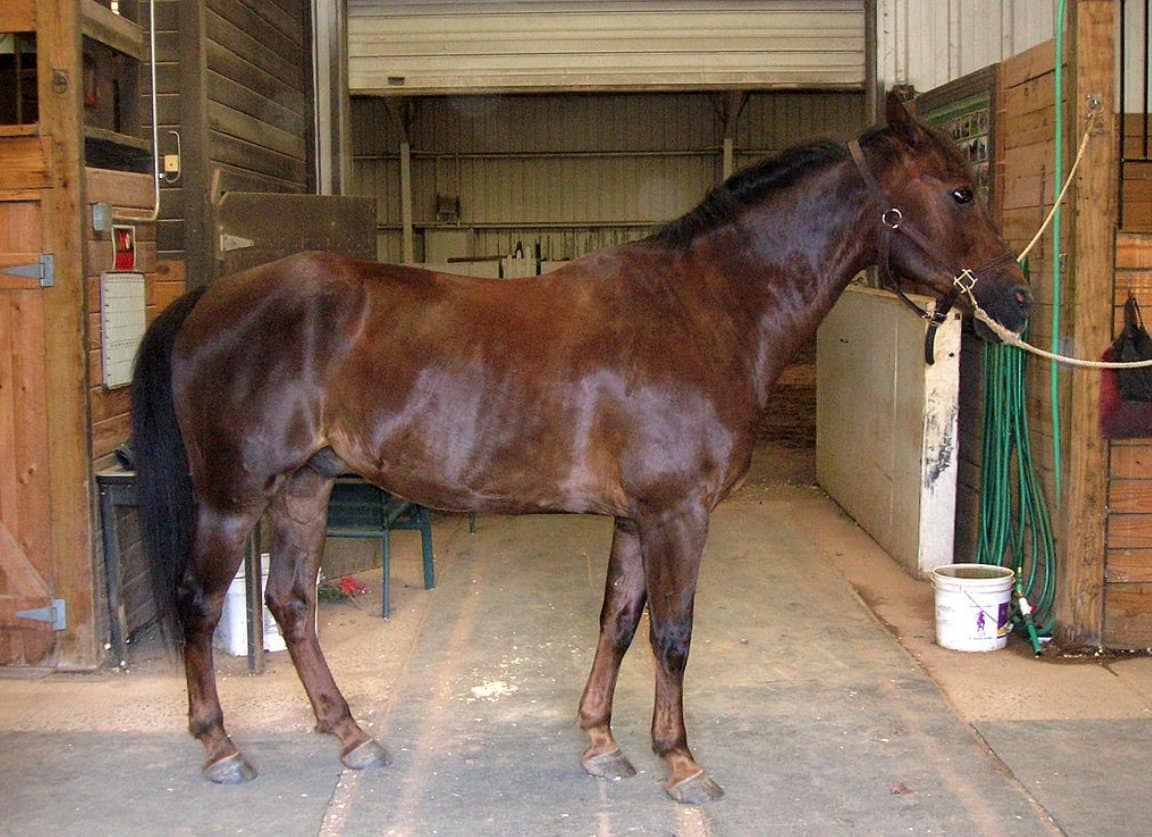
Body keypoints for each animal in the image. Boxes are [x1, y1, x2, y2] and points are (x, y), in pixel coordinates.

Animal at [130, 93, 1032, 805]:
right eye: (960, 189)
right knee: (200, 602)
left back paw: (349, 731)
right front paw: (682, 761)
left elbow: (619, 621)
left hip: (304, 486)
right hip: (234, 495)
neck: (705, 307)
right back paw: (220, 745)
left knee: (290, 600)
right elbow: (674, 632)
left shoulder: (638, 519)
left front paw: (601, 741)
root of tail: (214, 294)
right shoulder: (678, 516)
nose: (1017, 298)